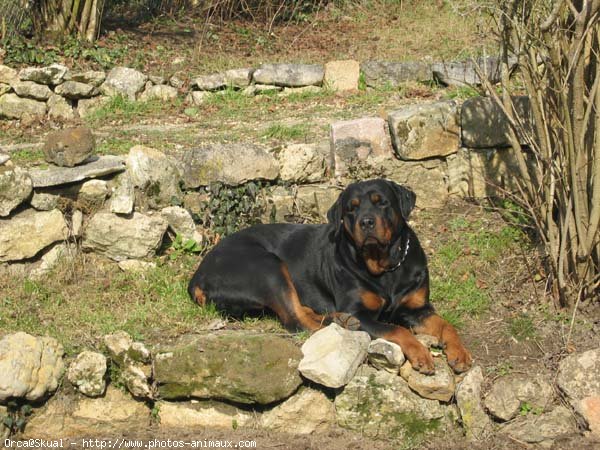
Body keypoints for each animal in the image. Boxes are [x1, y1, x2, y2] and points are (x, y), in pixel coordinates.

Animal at [190, 178, 472, 372]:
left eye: (382, 202)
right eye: (351, 209)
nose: (366, 221)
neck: (386, 268)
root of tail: (197, 275)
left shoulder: (417, 309)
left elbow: (446, 324)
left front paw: (460, 353)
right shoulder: (361, 311)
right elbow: (396, 330)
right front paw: (421, 354)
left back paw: (340, 320)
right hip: (267, 266)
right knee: (296, 320)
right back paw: (343, 323)